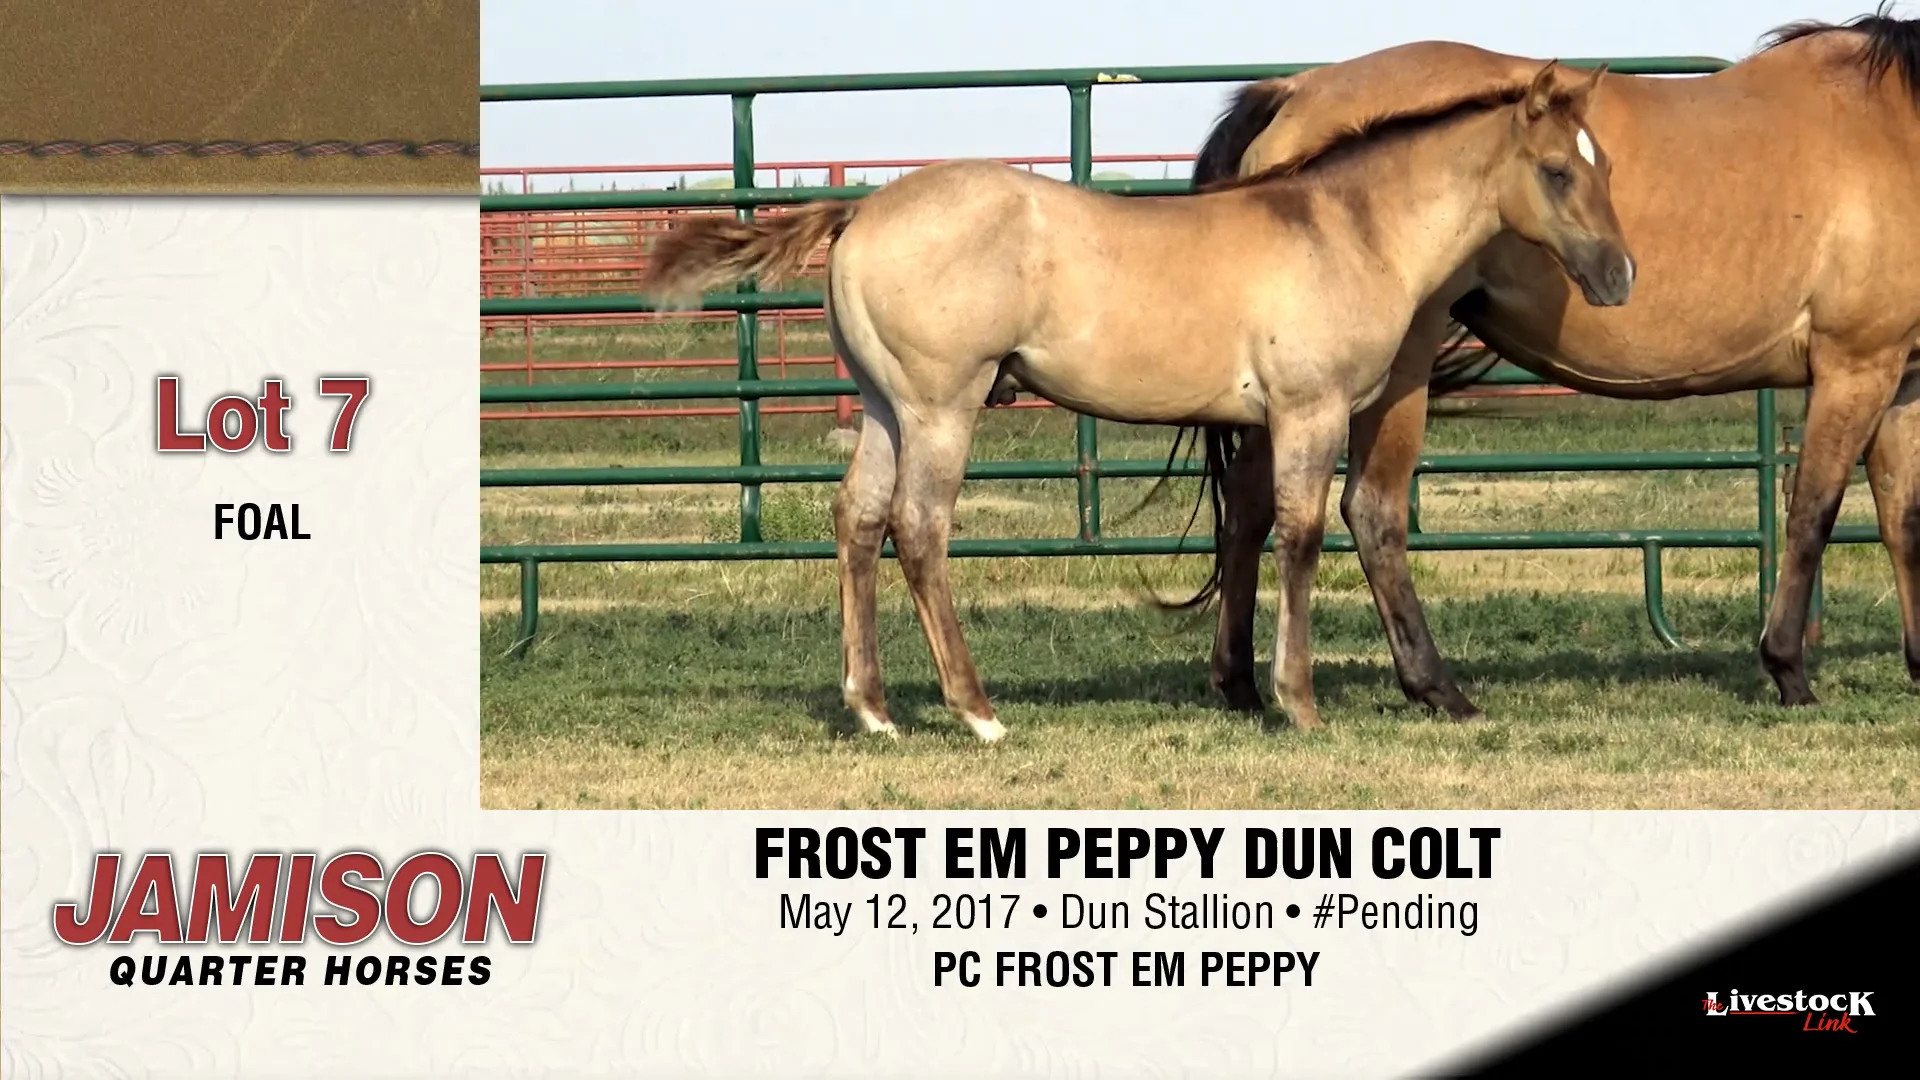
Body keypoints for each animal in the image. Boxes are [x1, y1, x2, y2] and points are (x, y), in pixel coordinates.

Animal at [641, 62, 1633, 740]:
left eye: (1606, 165)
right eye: (1556, 169)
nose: (1618, 276)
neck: (1343, 229)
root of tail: (863, 212)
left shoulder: (1264, 422)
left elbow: (1255, 531)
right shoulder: (1308, 412)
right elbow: (1305, 539)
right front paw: (1301, 702)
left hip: (887, 410)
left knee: (857, 520)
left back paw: (875, 709)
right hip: (940, 408)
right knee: (918, 529)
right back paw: (976, 710)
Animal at [1180, 10, 1920, 721]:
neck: (1894, 127)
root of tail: (1295, 89)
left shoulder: (1901, 380)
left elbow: (1902, 517)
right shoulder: (1855, 365)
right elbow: (1813, 514)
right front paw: (1788, 670)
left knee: (1250, 506)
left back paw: (1240, 683)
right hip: (1380, 372)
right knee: (1371, 509)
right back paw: (1433, 687)